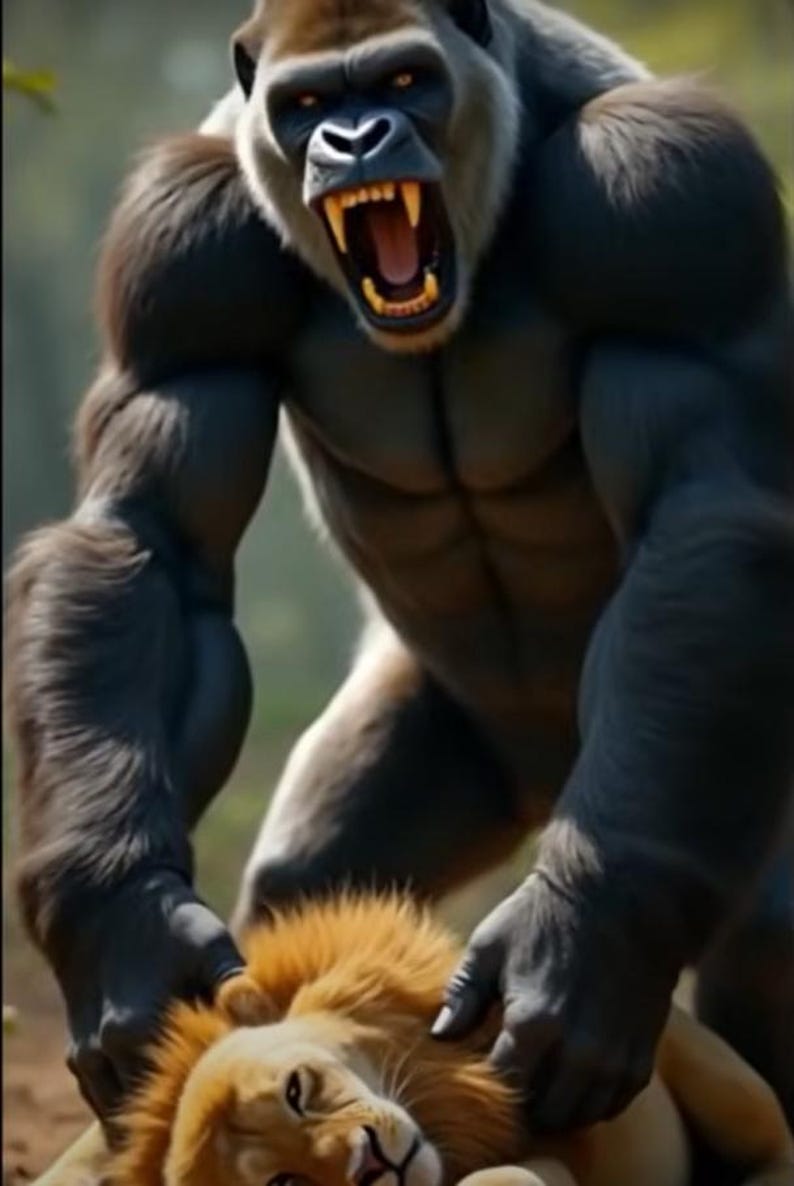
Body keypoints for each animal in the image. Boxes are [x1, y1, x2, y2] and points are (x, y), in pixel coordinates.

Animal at [5, 0, 793, 1141]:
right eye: (306, 104)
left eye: (406, 80)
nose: (356, 140)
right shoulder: (182, 243)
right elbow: (148, 542)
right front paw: (124, 924)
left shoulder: (666, 195)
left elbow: (704, 516)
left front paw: (586, 929)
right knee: (307, 879)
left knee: (766, 934)